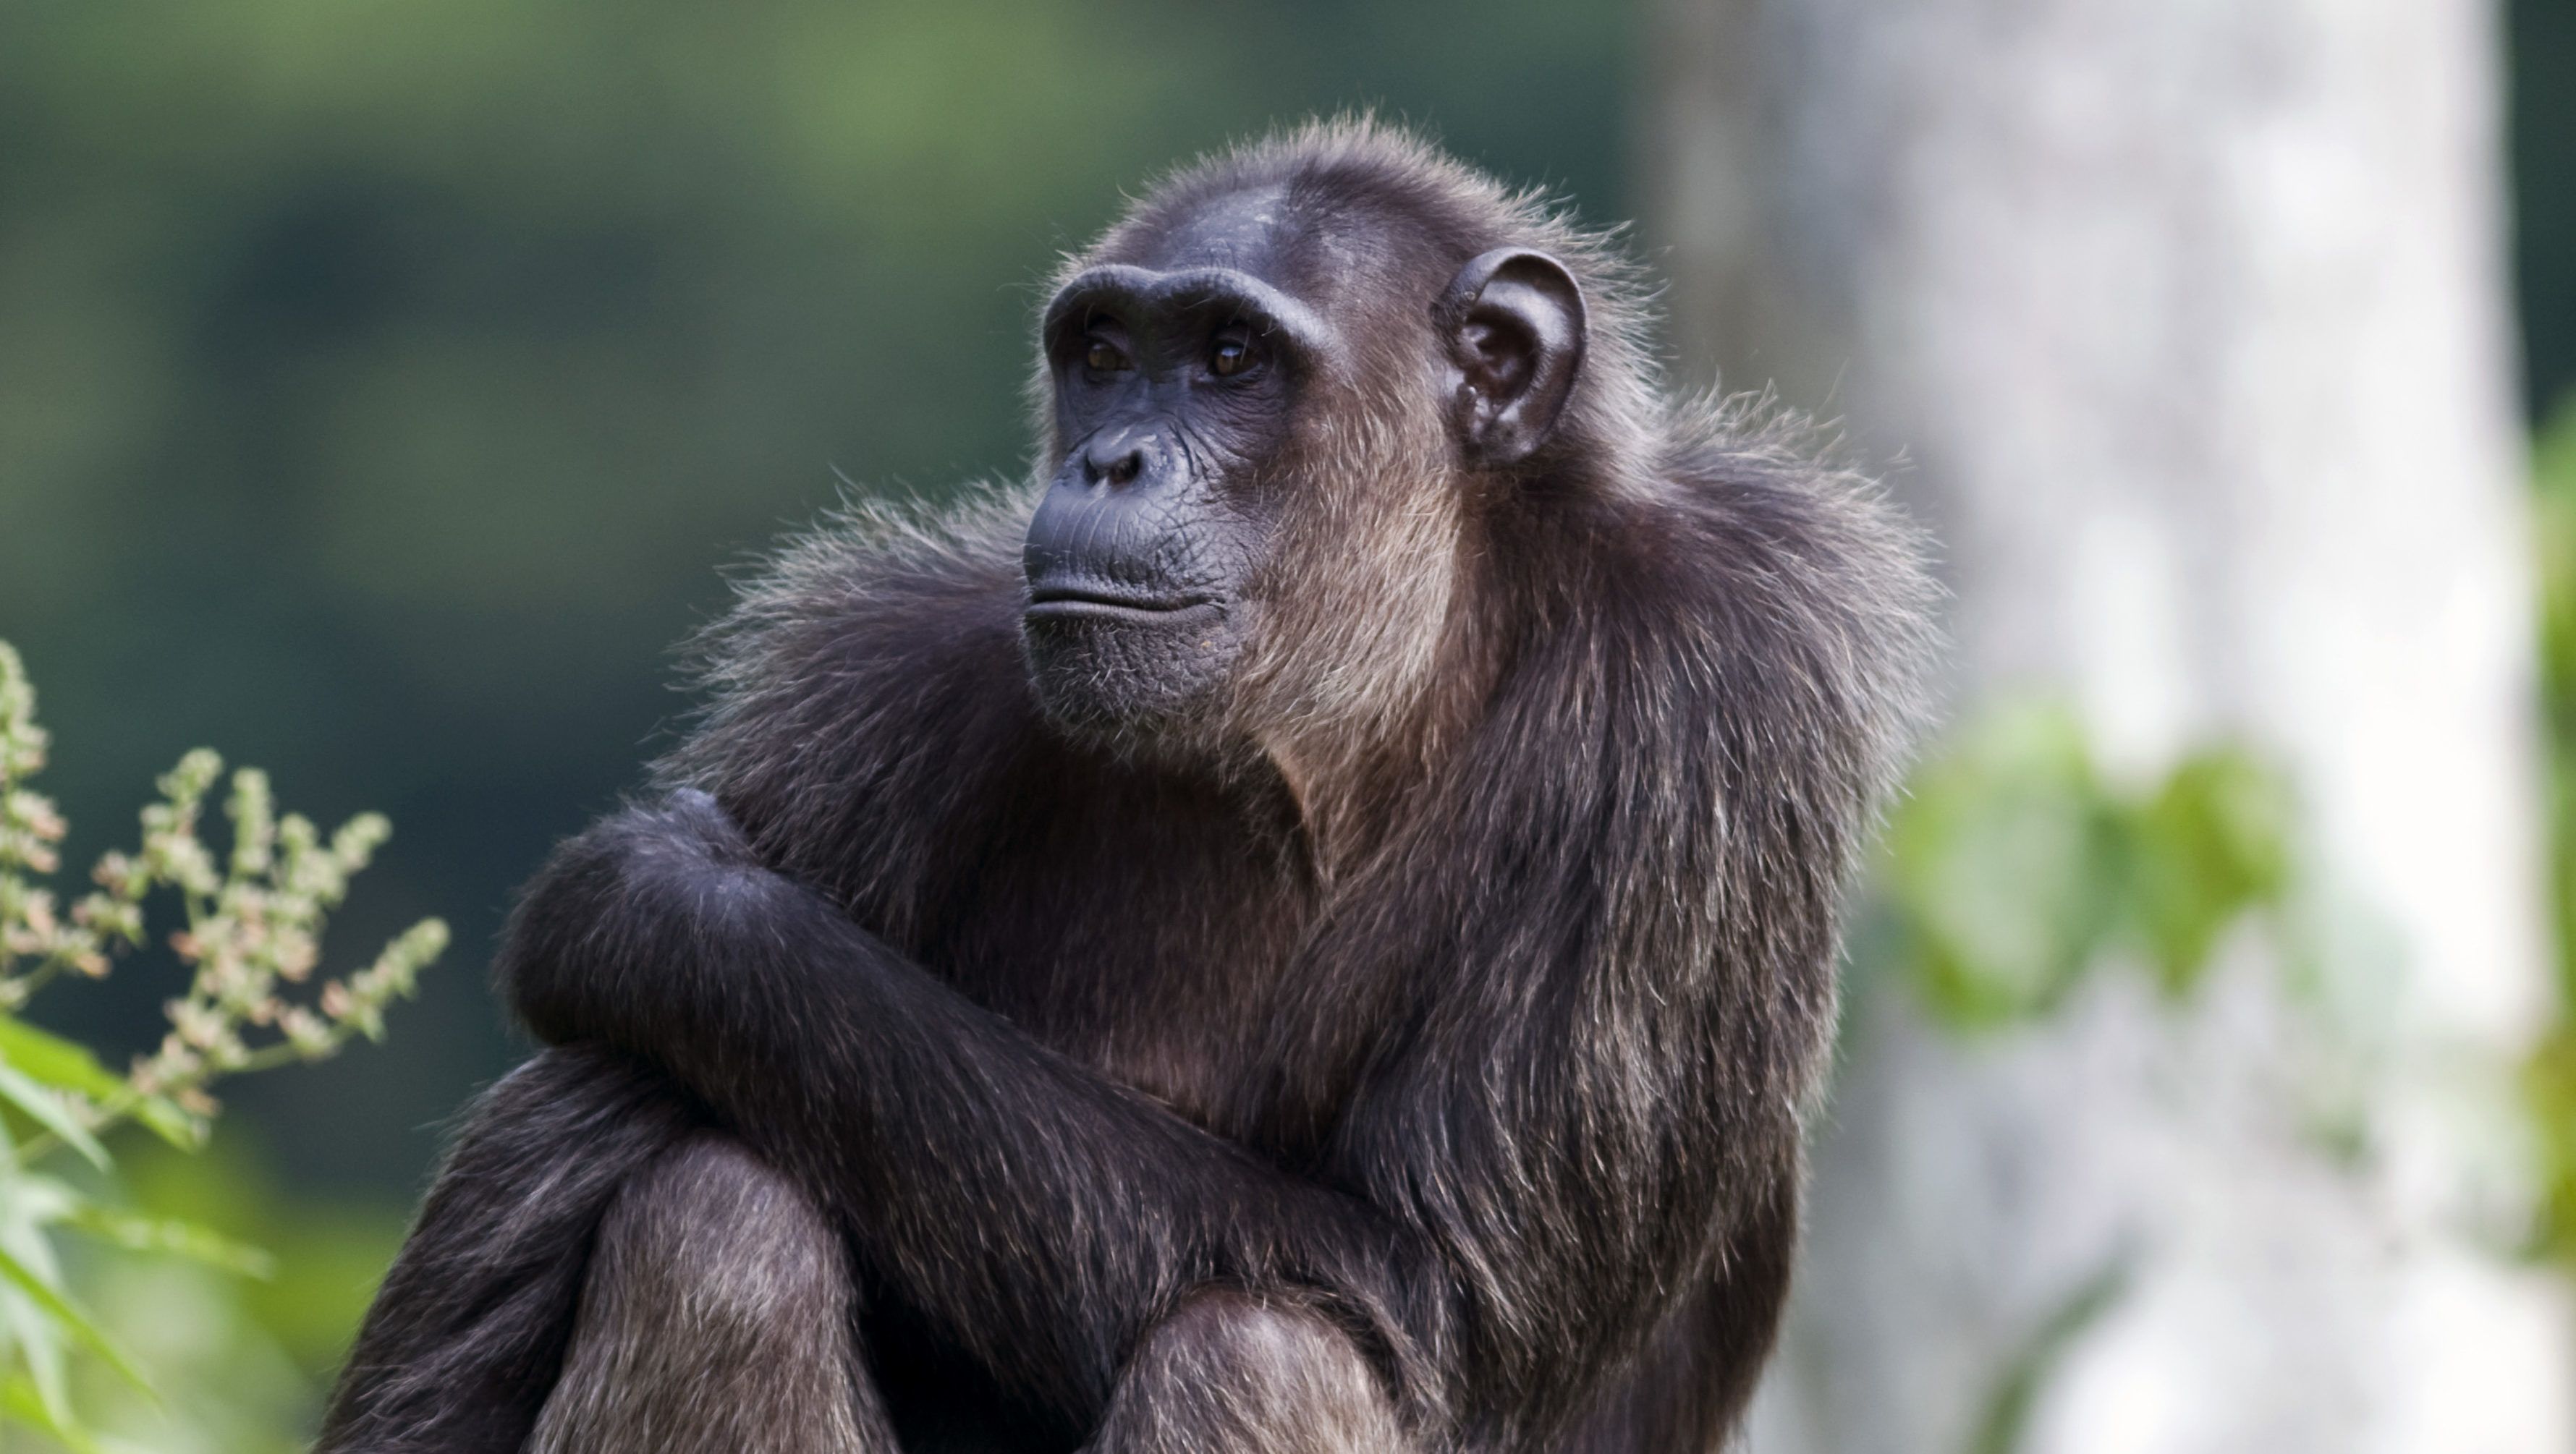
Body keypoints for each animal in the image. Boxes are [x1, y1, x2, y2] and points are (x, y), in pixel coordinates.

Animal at [316, 122, 1937, 1451]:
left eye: (1228, 358)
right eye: (1103, 353)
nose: (1112, 461)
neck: (1355, 712)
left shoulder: (1729, 683)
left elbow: (1445, 1286)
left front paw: (669, 898)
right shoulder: (865, 695)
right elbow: (570, 1136)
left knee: (1259, 1352)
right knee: (713, 1223)